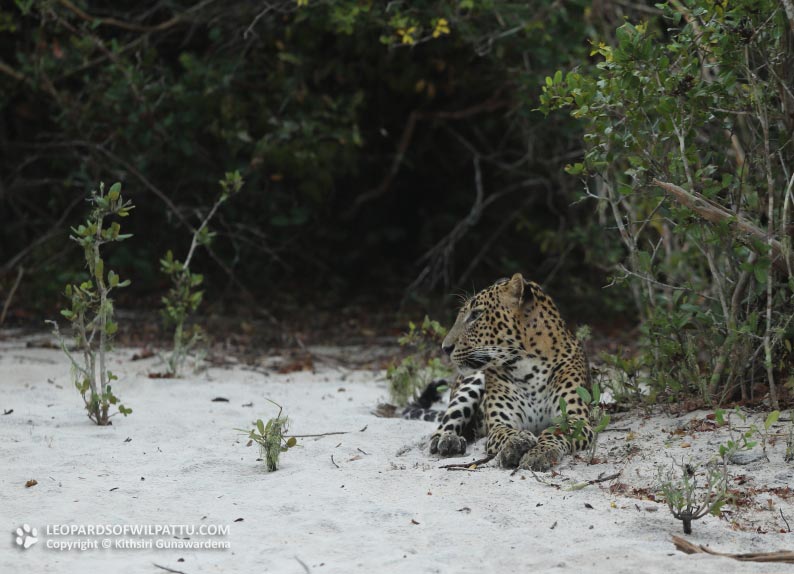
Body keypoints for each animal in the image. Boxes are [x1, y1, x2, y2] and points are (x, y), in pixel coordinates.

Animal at [404, 273, 592, 471]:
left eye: (476, 314)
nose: (445, 348)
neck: (529, 367)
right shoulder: (499, 424)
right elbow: (505, 432)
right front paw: (518, 442)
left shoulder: (575, 420)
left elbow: (554, 433)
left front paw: (540, 453)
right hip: (471, 382)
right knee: (445, 423)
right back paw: (448, 440)